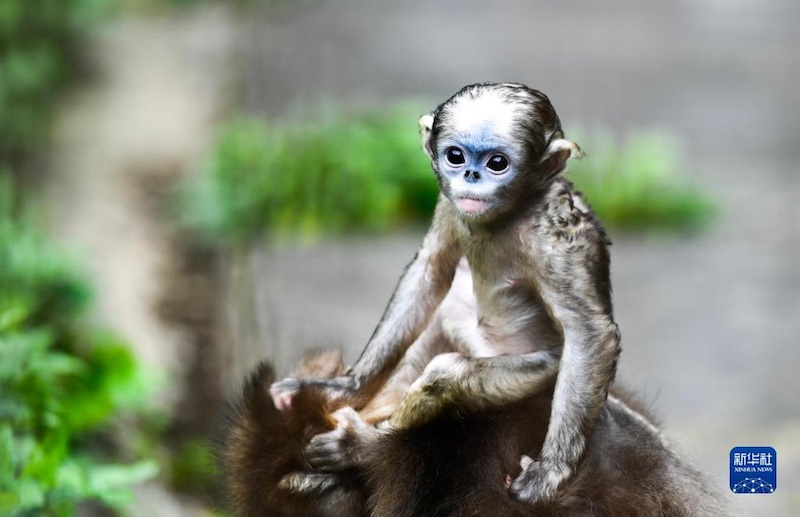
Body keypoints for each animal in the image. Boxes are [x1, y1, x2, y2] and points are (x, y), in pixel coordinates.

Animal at [270, 82, 620, 502]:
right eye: (456, 156)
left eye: (497, 163)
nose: (470, 174)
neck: (509, 215)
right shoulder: (448, 206)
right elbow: (429, 271)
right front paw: (344, 385)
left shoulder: (556, 240)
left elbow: (588, 333)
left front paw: (551, 472)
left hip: (539, 374)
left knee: (447, 373)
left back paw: (361, 449)